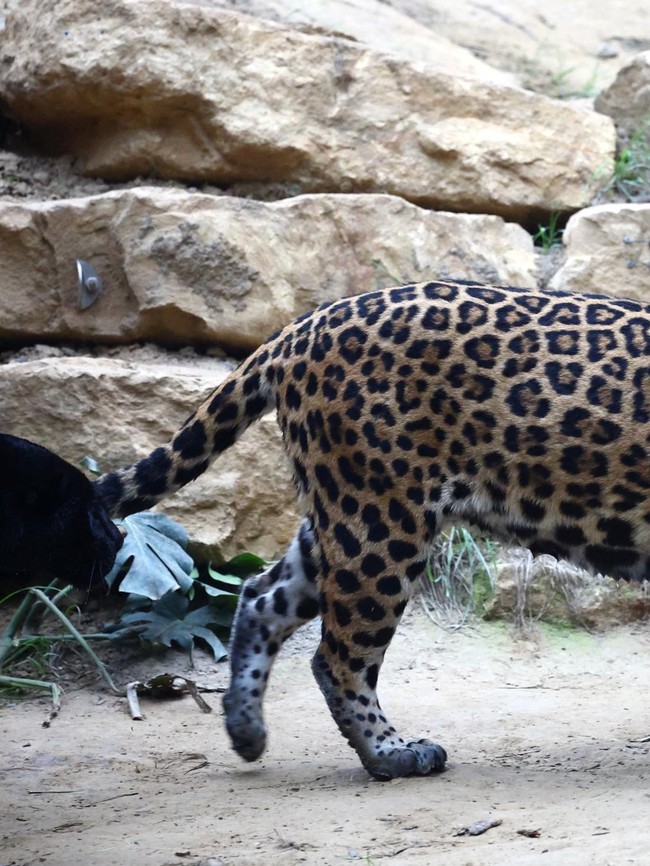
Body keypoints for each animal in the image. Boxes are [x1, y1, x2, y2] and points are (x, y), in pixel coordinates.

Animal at [94, 278, 650, 780]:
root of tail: (302, 327)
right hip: (379, 522)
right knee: (335, 657)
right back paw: (390, 753)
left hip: (343, 513)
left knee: (260, 596)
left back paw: (246, 729)